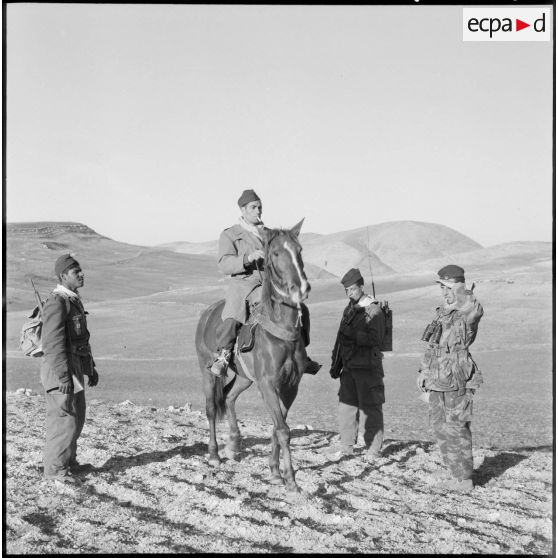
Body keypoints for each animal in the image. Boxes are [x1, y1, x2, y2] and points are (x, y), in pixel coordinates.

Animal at [195, 219, 311, 493]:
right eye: (275, 253)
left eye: (299, 250)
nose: (300, 288)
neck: (282, 330)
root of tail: (207, 313)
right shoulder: (268, 384)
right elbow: (283, 430)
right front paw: (291, 480)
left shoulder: (291, 385)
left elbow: (278, 427)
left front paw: (275, 472)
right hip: (207, 371)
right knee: (211, 409)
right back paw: (214, 454)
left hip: (245, 378)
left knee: (228, 397)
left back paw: (233, 444)